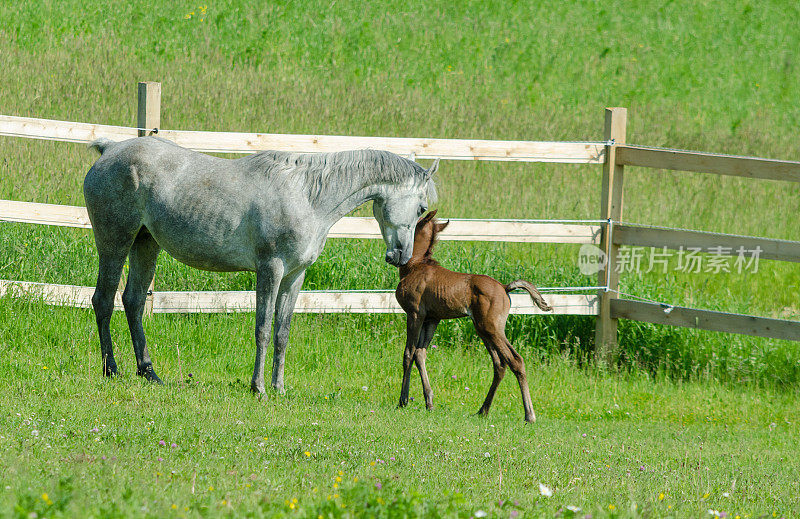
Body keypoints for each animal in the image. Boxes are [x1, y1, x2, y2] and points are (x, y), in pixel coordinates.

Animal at [84, 138, 438, 394]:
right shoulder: (271, 270)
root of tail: (110, 149)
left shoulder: (294, 276)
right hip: (115, 243)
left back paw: (149, 373)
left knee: (133, 301)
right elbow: (263, 329)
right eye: (421, 207)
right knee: (103, 301)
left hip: (146, 244)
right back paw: (111, 369)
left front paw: (279, 388)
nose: (401, 255)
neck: (307, 197)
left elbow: (282, 332)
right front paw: (259, 388)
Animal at [392, 210, 552, 422]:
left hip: (491, 328)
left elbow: (408, 353)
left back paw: (529, 415)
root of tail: (504, 287)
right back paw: (483, 410)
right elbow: (420, 354)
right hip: (483, 329)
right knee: (499, 364)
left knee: (515, 360)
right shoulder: (432, 319)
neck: (415, 265)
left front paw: (403, 401)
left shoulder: (415, 313)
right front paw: (429, 402)